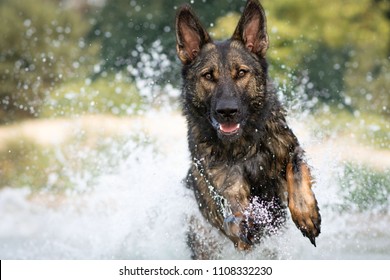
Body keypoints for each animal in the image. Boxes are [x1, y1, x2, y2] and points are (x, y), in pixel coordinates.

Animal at [176, 0, 320, 255]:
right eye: (208, 76)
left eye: (241, 73)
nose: (227, 111)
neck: (245, 147)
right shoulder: (227, 193)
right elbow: (238, 215)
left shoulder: (291, 150)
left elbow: (296, 172)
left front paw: (306, 214)